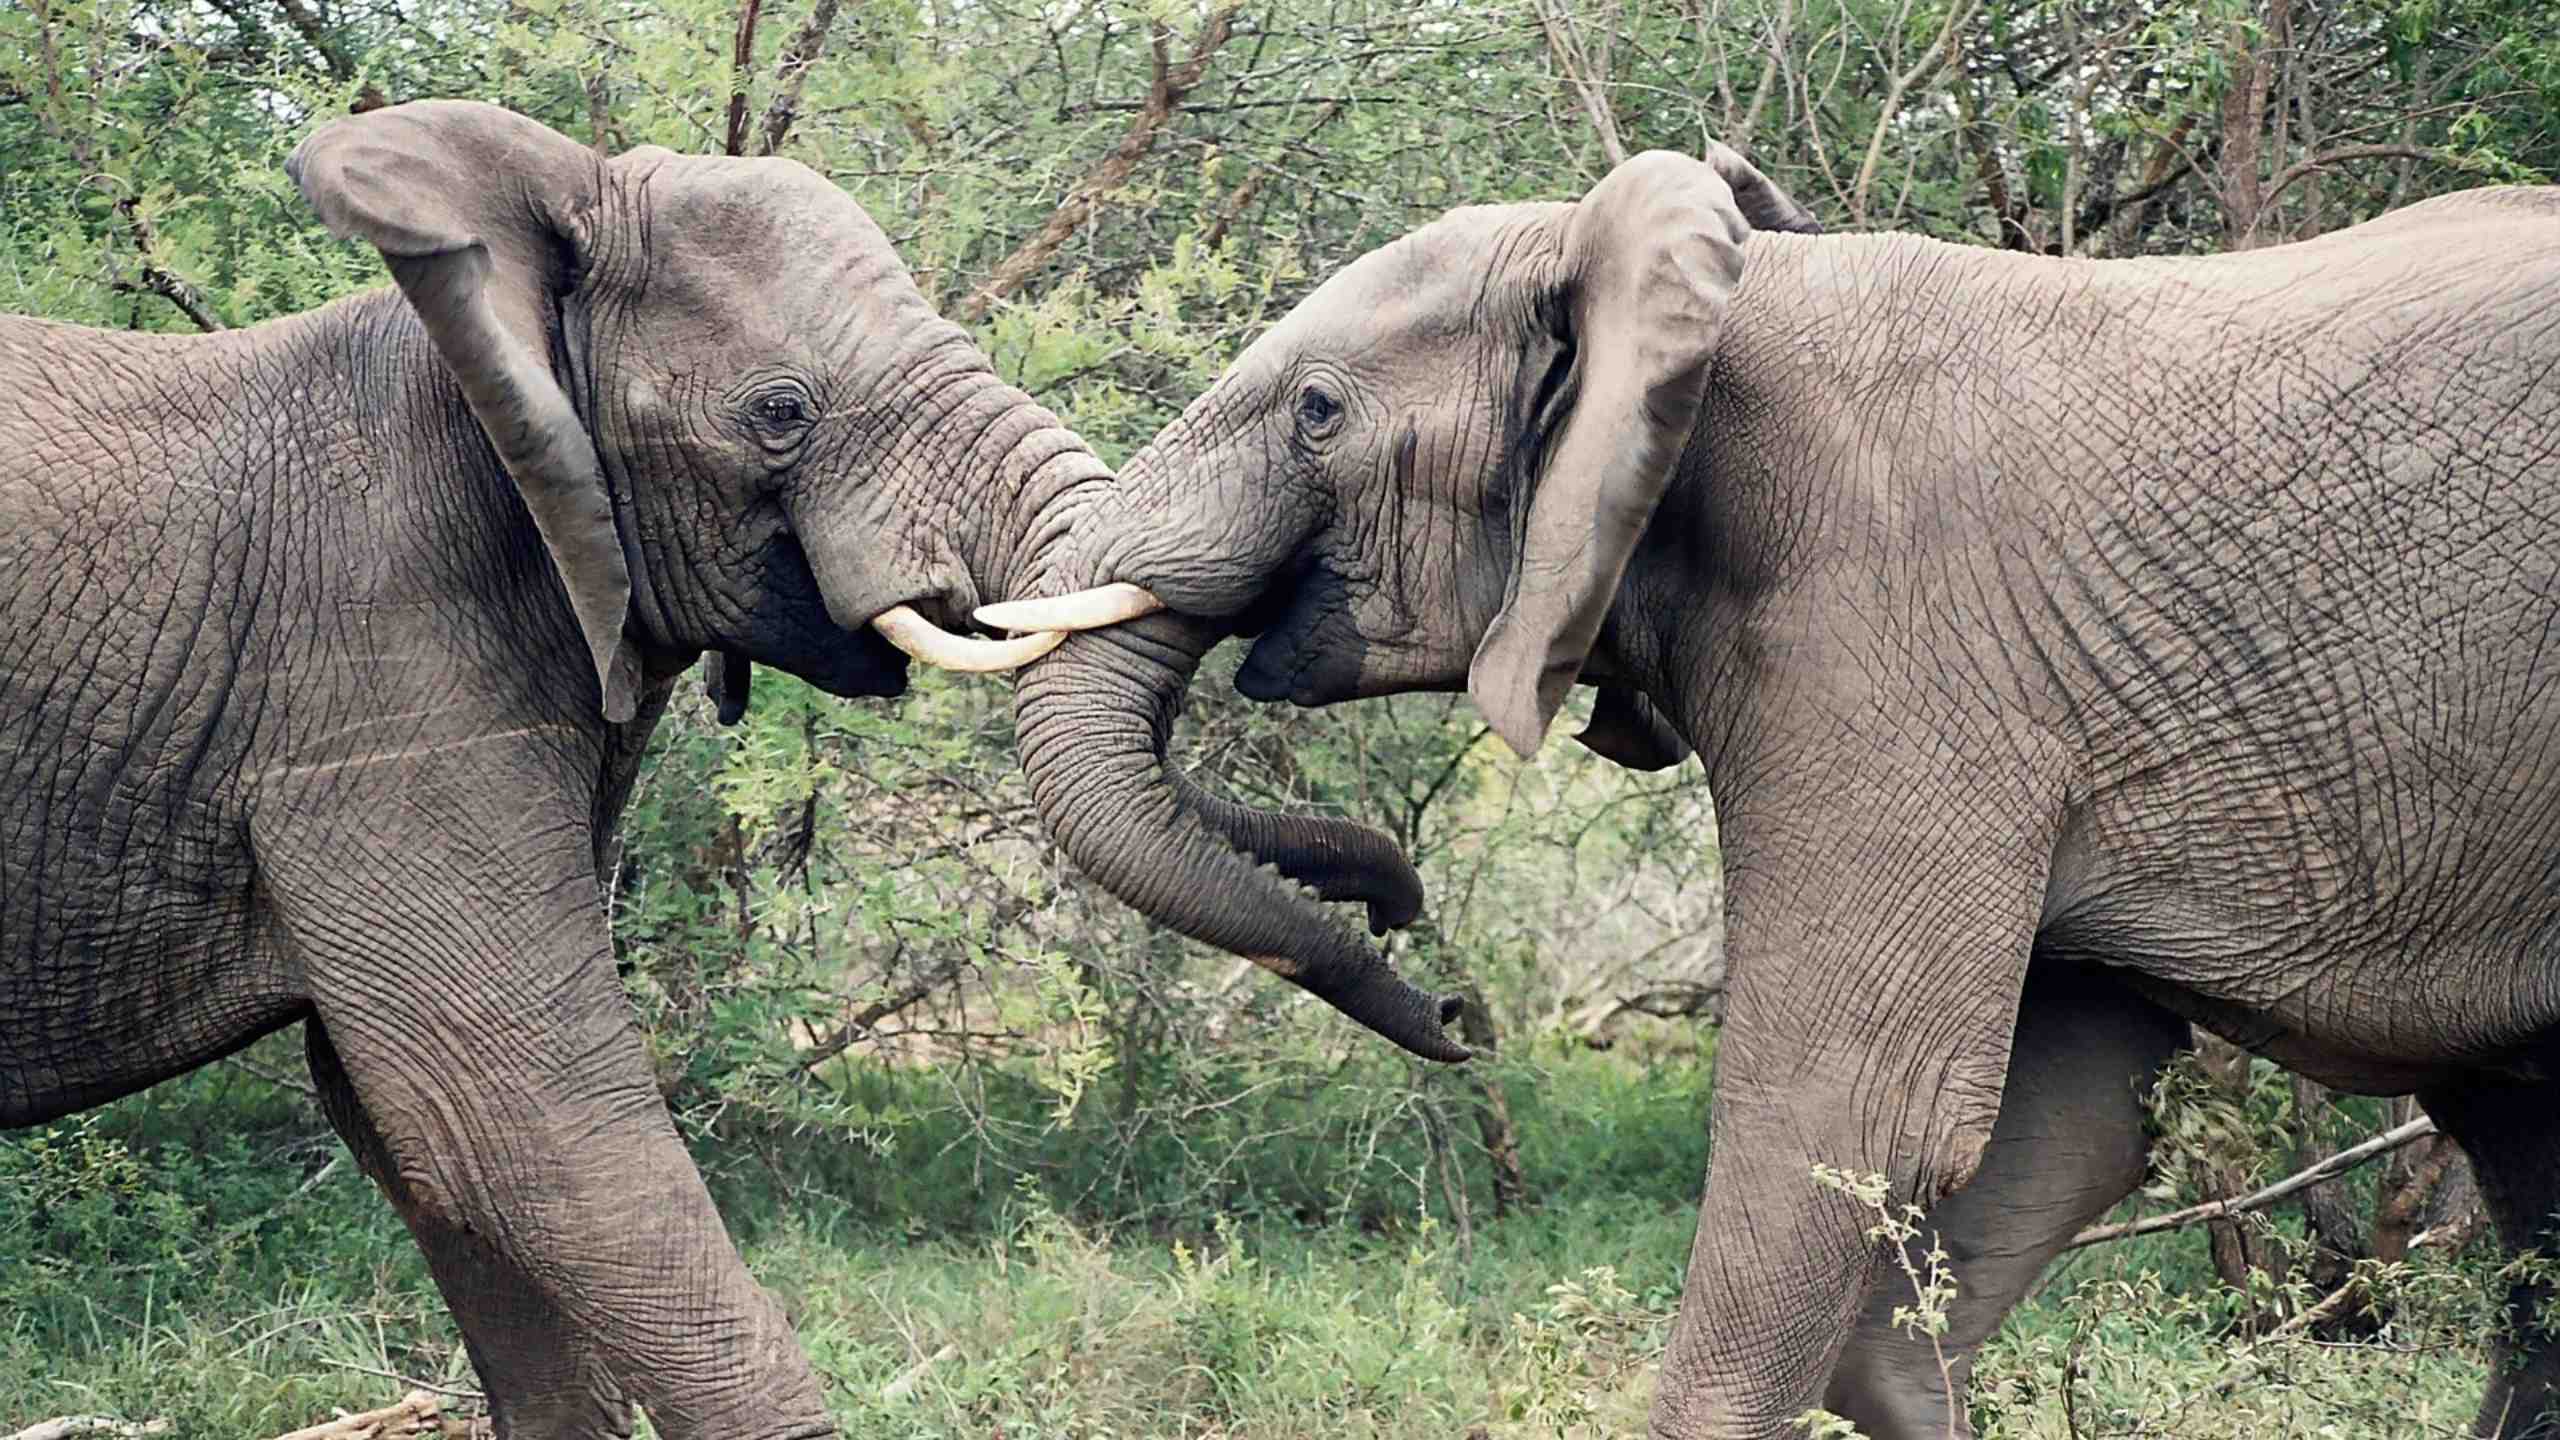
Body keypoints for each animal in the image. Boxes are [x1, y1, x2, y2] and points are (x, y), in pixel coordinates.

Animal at [0, 101, 1443, 1434]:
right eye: (780, 415)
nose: (1440, 989)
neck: (491, 336)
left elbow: (429, 1144)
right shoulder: (367, 686)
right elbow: (518, 1121)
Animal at [988, 148, 2560, 1434]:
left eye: (1317, 412)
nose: (1434, 993)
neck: (1704, 298)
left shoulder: (1895, 643)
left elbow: (1842, 1114)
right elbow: (2071, 1118)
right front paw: (1913, 1377)